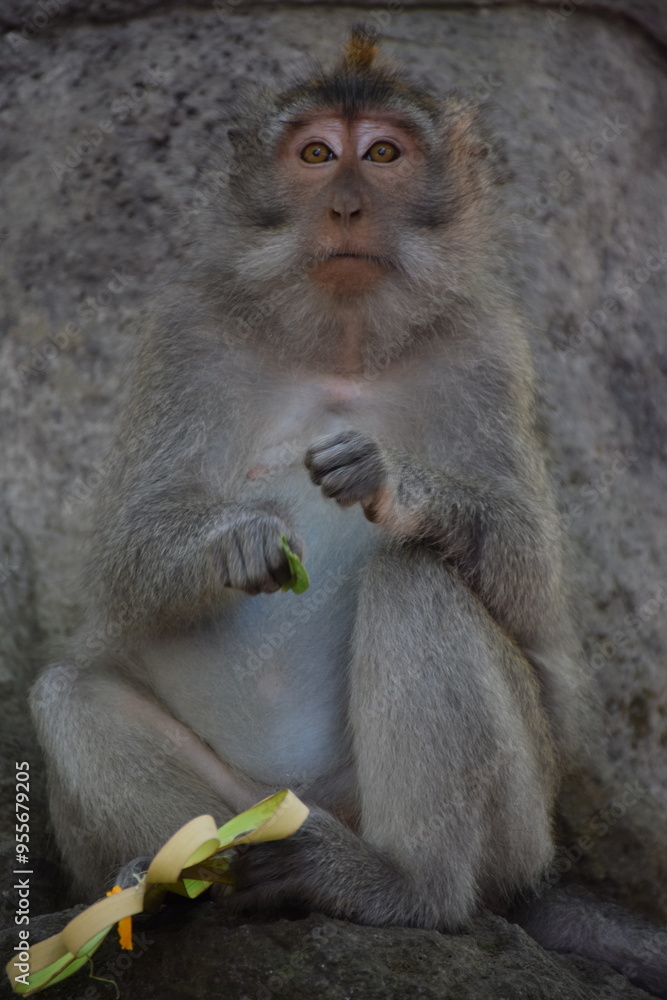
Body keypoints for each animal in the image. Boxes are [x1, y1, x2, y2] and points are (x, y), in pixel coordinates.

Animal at [30, 27, 667, 996]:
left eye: (384, 155)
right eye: (317, 155)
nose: (345, 208)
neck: (343, 341)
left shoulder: (489, 349)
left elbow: (534, 596)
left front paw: (394, 485)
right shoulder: (185, 333)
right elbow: (121, 561)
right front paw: (233, 540)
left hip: (517, 832)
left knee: (416, 581)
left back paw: (404, 886)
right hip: (255, 804)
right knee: (67, 697)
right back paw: (180, 887)